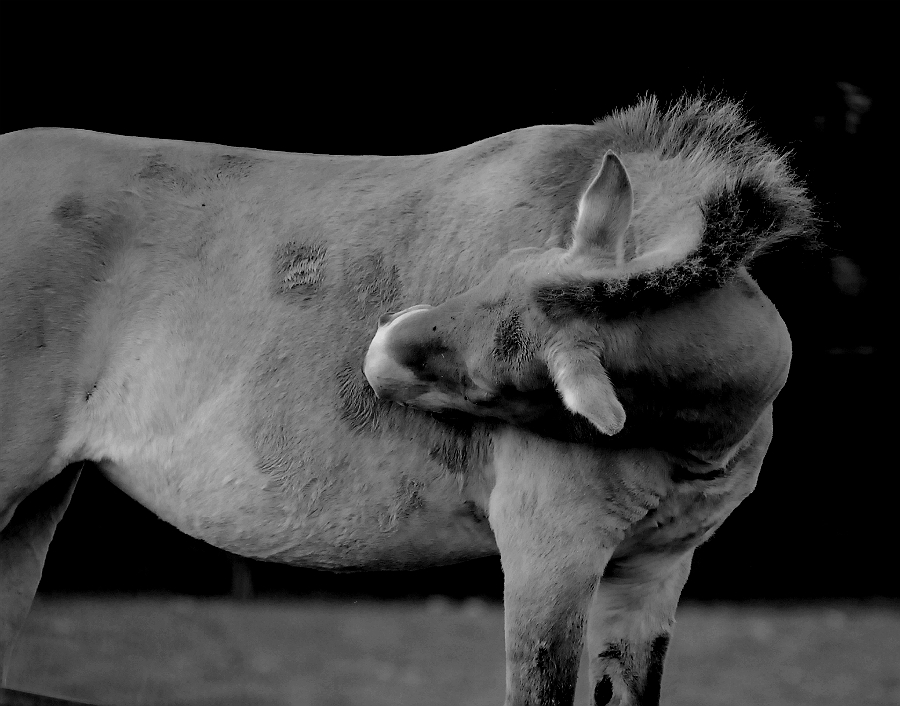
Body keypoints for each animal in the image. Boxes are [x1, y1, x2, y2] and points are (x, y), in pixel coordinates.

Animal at [0, 96, 813, 705]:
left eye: (497, 381)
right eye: (498, 266)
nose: (379, 347)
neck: (694, 438)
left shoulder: (651, 577)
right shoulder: (549, 554)